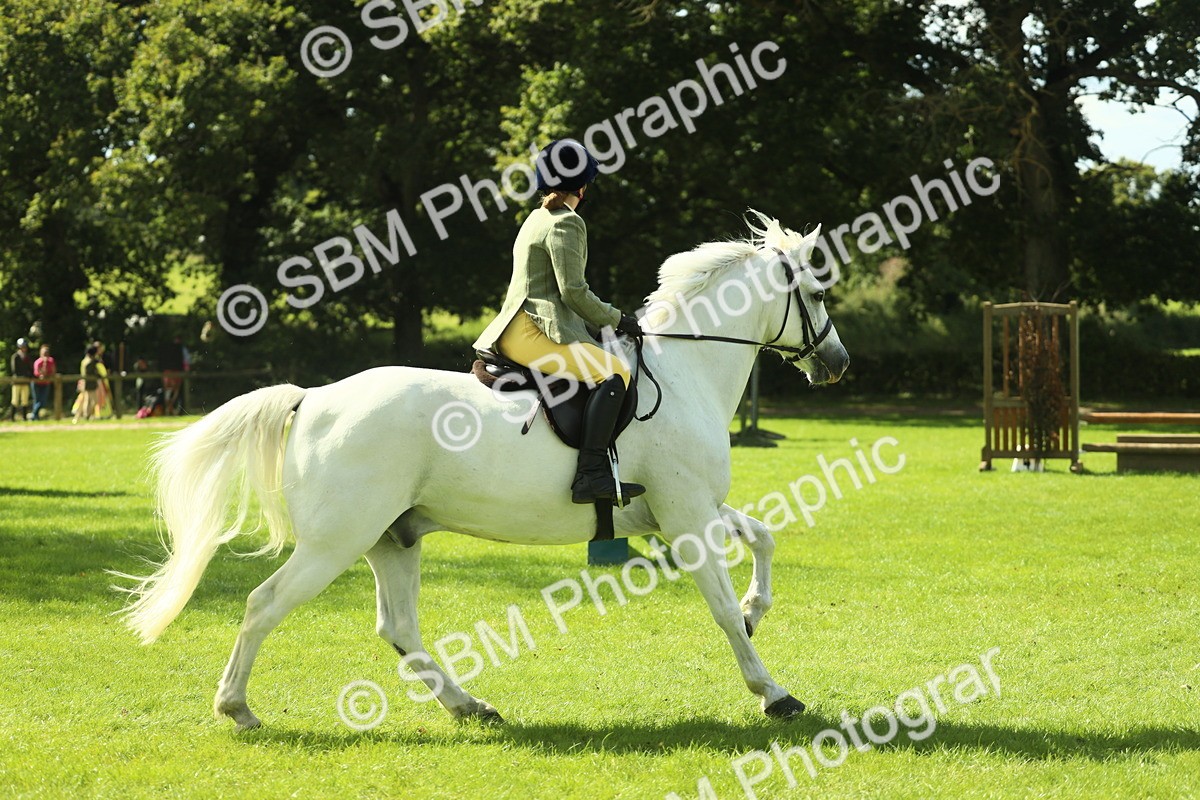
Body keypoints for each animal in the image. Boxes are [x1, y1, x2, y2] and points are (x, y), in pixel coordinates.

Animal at [119, 210, 850, 730]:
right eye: (817, 292)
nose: (838, 363)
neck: (684, 371)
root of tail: (314, 398)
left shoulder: (686, 510)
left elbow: (763, 538)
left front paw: (757, 611)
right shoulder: (687, 515)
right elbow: (721, 608)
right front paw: (773, 692)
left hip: (392, 537)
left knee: (398, 628)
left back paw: (471, 706)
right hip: (336, 542)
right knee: (264, 605)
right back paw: (236, 707)